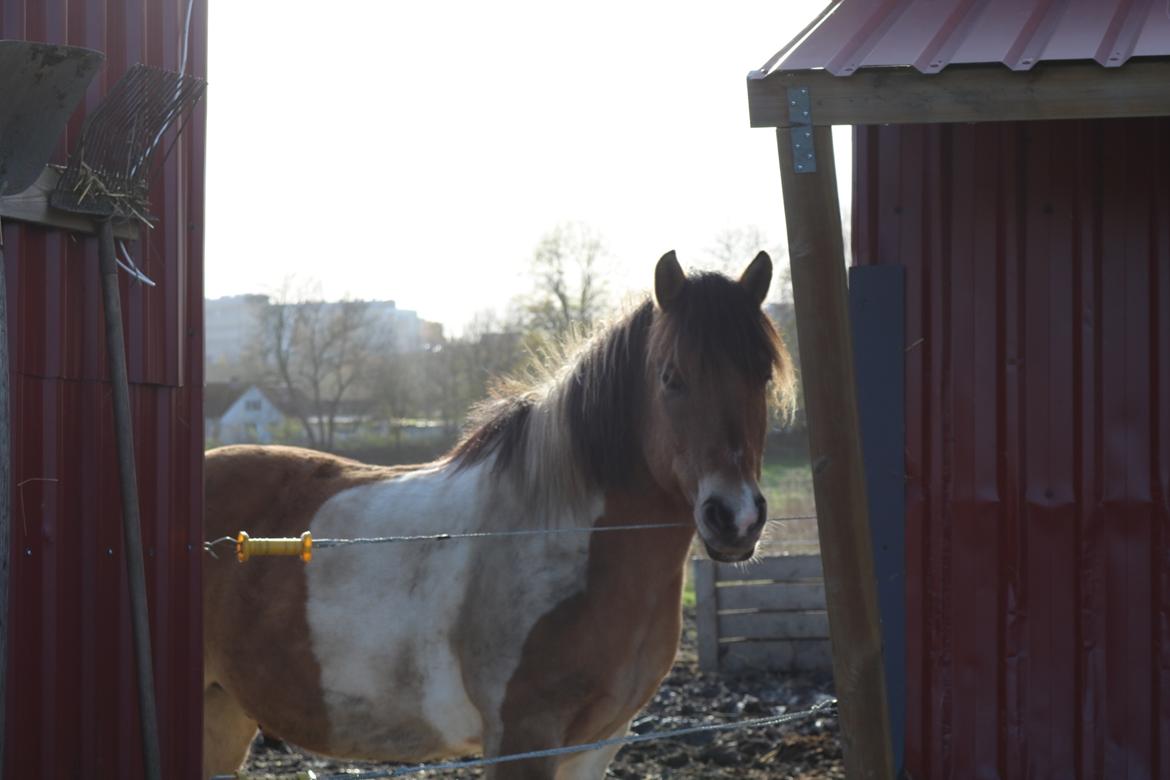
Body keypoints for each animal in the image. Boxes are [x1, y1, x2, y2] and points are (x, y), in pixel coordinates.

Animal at [205, 251, 800, 780]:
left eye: (762, 376)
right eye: (671, 377)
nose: (734, 517)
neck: (560, 533)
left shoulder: (598, 743)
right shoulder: (522, 738)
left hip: (226, 717)